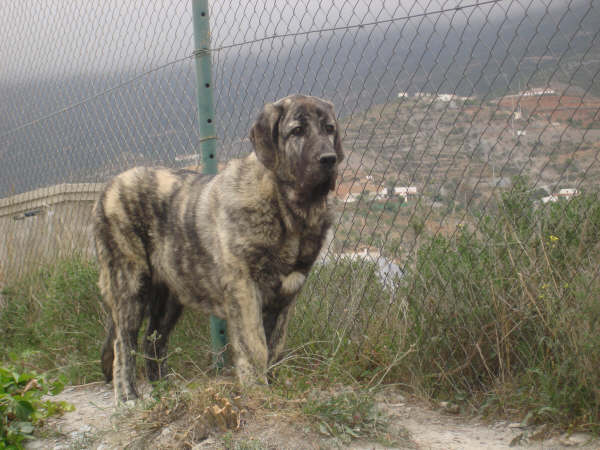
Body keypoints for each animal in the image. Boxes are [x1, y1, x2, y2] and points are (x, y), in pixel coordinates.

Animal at [95, 94, 344, 400]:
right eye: (297, 131)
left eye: (329, 129)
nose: (329, 159)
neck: (288, 211)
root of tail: (109, 186)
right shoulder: (244, 288)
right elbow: (255, 346)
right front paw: (257, 391)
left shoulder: (286, 296)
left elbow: (275, 347)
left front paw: (272, 389)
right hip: (129, 284)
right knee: (124, 342)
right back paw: (129, 396)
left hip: (169, 297)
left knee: (153, 340)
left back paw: (165, 390)